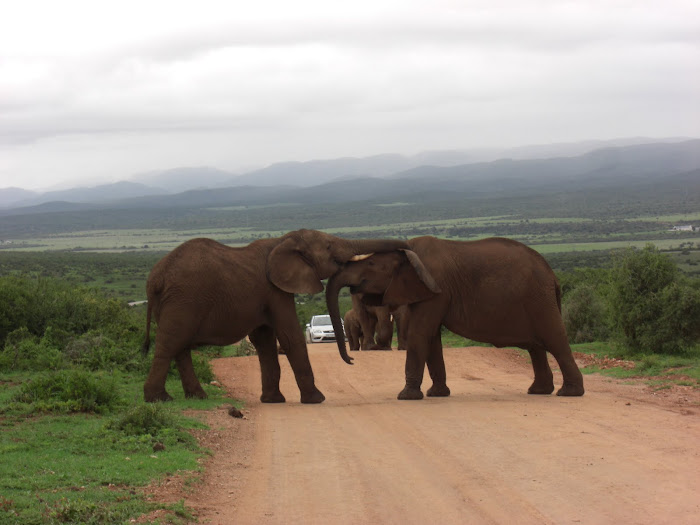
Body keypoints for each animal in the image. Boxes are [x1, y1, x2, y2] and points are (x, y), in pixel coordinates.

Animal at [141, 229, 408, 403]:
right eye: (329, 247)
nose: (352, 360)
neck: (283, 241)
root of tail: (155, 278)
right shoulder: (275, 290)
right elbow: (290, 337)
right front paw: (316, 399)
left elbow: (265, 342)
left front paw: (273, 400)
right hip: (183, 301)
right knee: (171, 344)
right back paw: (158, 399)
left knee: (181, 347)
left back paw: (197, 397)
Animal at [325, 236, 585, 400]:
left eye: (370, 264)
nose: (352, 360)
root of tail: (552, 275)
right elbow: (431, 338)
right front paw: (436, 394)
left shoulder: (436, 288)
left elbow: (421, 332)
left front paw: (406, 397)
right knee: (535, 347)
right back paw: (539, 391)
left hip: (539, 299)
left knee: (554, 339)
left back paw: (569, 393)